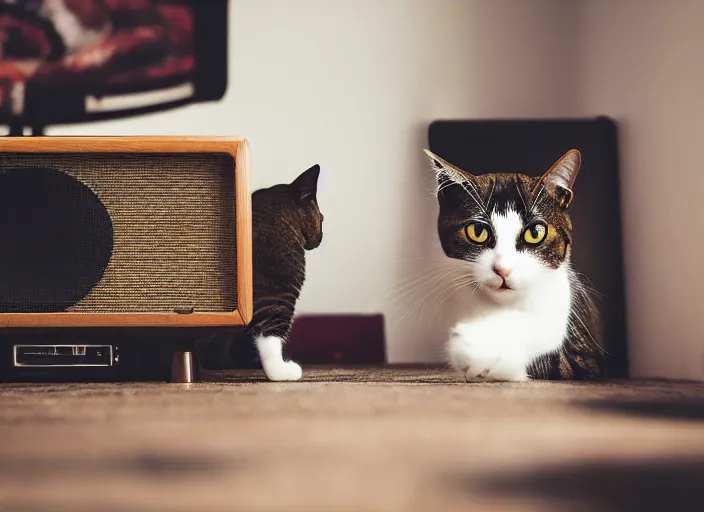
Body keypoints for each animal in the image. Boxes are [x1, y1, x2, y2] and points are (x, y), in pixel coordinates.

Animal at [424, 148, 604, 380]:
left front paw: (478, 348)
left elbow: (556, 356)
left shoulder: (588, 359)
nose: (503, 269)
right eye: (477, 231)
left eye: (535, 233)